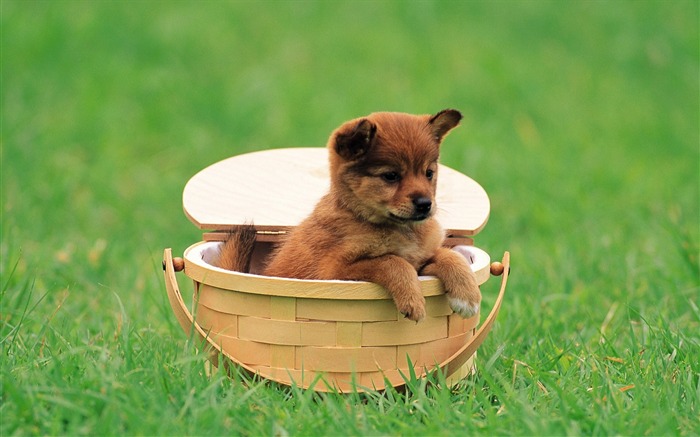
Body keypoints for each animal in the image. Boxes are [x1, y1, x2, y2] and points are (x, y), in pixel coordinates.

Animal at [216, 109, 484, 320]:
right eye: (390, 176)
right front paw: (413, 300)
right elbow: (392, 261)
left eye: (429, 173)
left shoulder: (422, 261)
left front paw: (468, 296)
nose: (425, 204)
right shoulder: (335, 271)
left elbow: (450, 257)